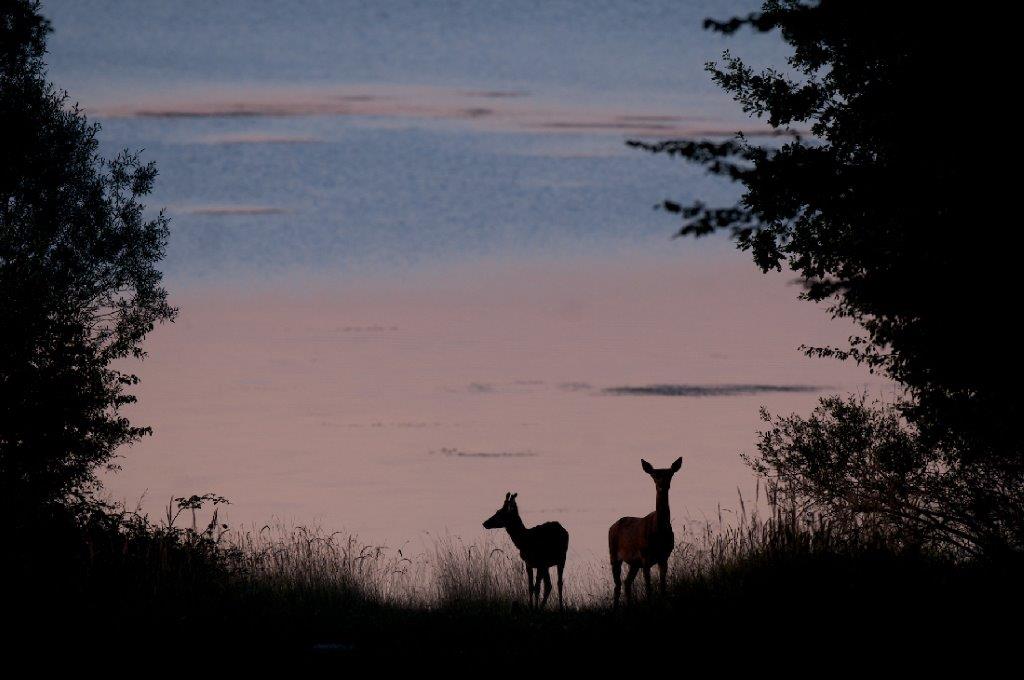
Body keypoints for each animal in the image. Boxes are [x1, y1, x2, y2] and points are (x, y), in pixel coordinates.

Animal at [606, 456, 679, 606]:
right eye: (654, 475)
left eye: (670, 474)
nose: (662, 486)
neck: (659, 532)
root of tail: (612, 526)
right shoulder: (645, 556)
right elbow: (648, 587)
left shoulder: (665, 555)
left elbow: (663, 587)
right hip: (614, 554)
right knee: (617, 585)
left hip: (634, 563)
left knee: (626, 582)